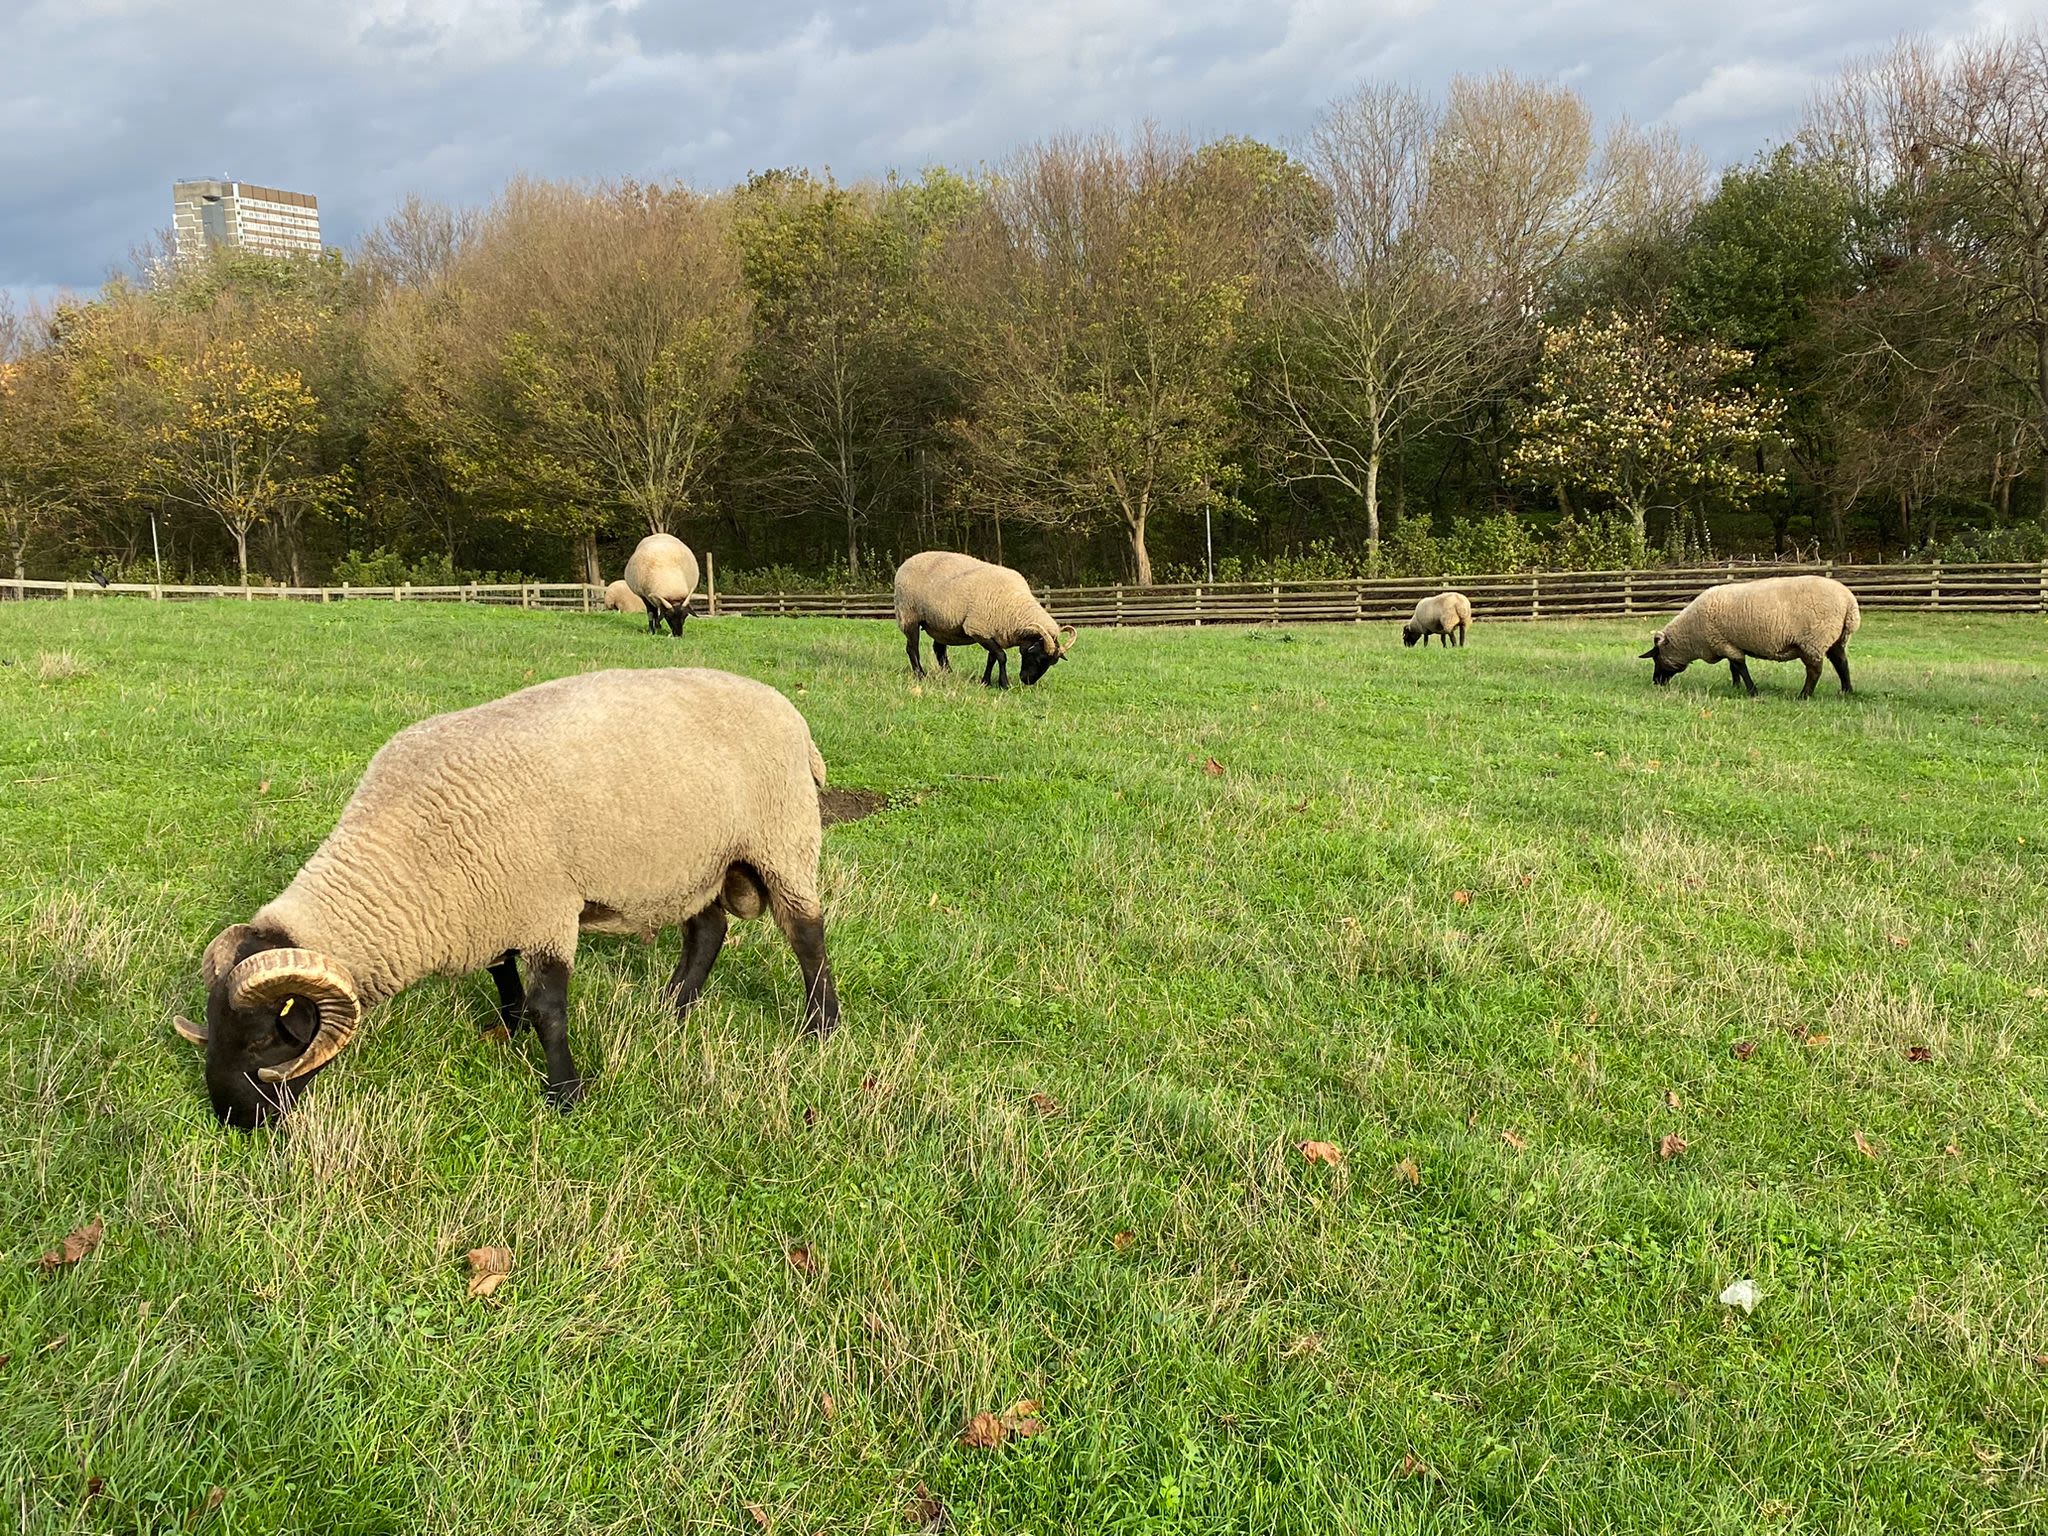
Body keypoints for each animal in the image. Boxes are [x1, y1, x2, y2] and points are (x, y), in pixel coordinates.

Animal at [171, 668, 838, 1129]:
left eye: (262, 1041)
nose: (233, 1120)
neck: (402, 862)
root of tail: (788, 710)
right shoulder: (493, 904)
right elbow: (501, 972)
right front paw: (509, 1030)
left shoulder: (546, 908)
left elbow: (550, 1009)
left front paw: (565, 1094)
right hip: (694, 859)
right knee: (706, 933)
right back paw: (670, 1011)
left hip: (781, 838)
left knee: (806, 933)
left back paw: (819, 1028)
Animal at [893, 550, 1075, 687]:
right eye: (1038, 657)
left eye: (1051, 663)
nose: (1027, 681)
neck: (1014, 606)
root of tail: (905, 563)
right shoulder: (977, 629)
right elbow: (1001, 656)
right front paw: (1004, 684)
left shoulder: (991, 632)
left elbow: (992, 658)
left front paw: (985, 682)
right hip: (909, 615)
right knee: (912, 648)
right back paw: (920, 675)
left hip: (941, 625)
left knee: (939, 651)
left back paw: (949, 674)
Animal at [1640, 575, 1861, 698]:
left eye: (1656, 658)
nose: (1655, 682)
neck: (1692, 636)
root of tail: (1849, 602)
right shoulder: (1729, 642)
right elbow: (1733, 667)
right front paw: (1736, 686)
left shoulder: (1721, 641)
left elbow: (1740, 666)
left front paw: (1752, 691)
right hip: (1835, 638)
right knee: (1842, 663)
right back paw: (1847, 691)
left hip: (1813, 639)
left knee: (1815, 670)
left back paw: (1804, 695)